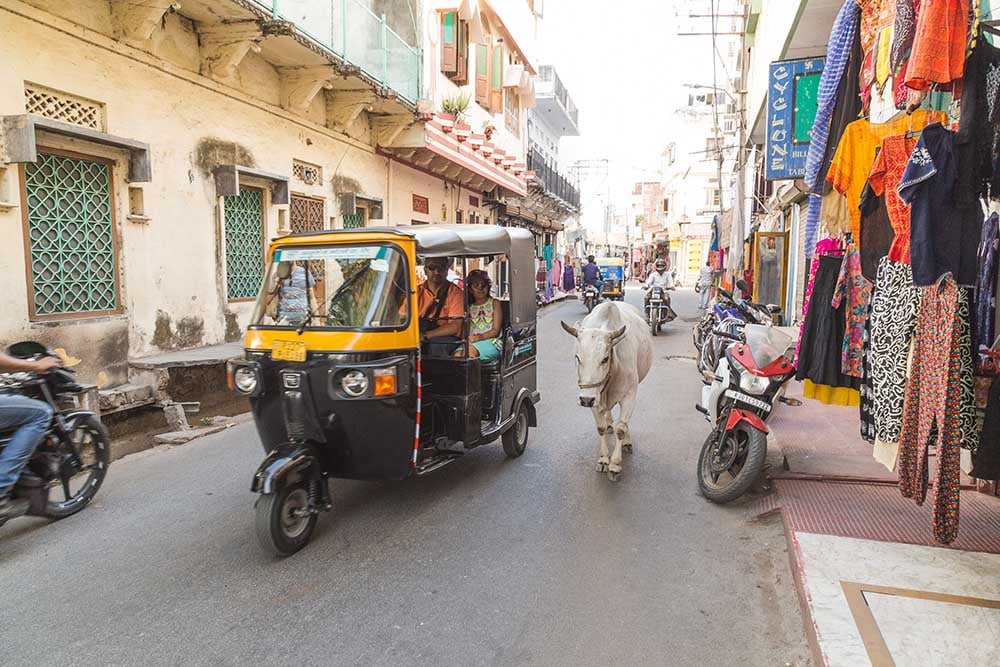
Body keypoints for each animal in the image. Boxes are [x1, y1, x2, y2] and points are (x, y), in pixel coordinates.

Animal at [560, 302, 652, 480]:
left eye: (605, 359)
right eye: (577, 358)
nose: (585, 400)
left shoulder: (629, 395)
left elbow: (621, 429)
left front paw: (615, 465)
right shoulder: (594, 397)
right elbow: (601, 428)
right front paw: (603, 459)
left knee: (623, 424)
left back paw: (626, 441)